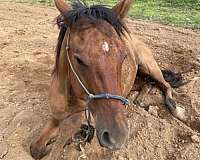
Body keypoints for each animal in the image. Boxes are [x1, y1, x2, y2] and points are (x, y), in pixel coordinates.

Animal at [29, 0, 186, 159]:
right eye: (78, 59)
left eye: (124, 56)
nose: (118, 136)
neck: (69, 96)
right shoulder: (55, 116)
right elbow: (36, 148)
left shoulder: (87, 114)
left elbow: (70, 125)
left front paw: (72, 137)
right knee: (147, 84)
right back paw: (140, 100)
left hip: (149, 66)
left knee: (165, 85)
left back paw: (176, 109)